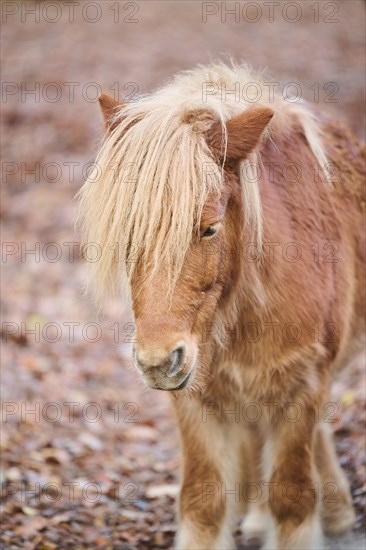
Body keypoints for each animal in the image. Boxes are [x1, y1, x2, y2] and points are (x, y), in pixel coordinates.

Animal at [78, 62, 364, 548]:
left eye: (209, 228)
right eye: (130, 232)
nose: (158, 362)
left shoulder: (303, 387)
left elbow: (292, 499)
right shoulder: (196, 399)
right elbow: (204, 503)